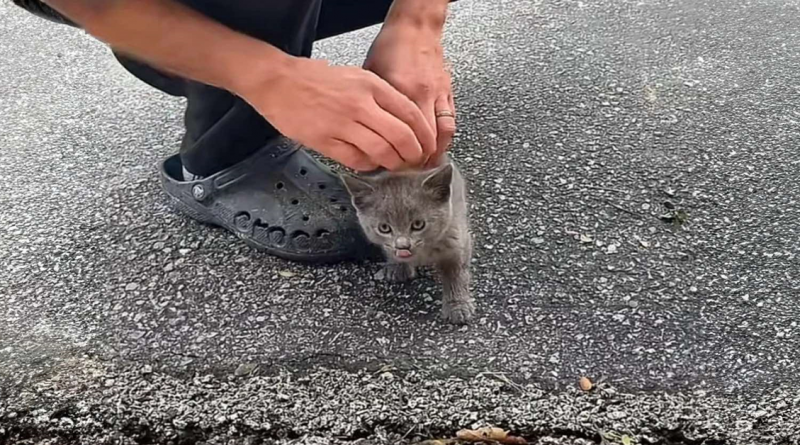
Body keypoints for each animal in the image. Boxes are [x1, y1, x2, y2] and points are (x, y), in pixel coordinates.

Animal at [340, 156, 476, 322]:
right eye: (384, 228)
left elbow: (456, 274)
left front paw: (457, 306)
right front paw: (398, 266)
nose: (402, 245)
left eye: (418, 224)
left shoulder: (457, 238)